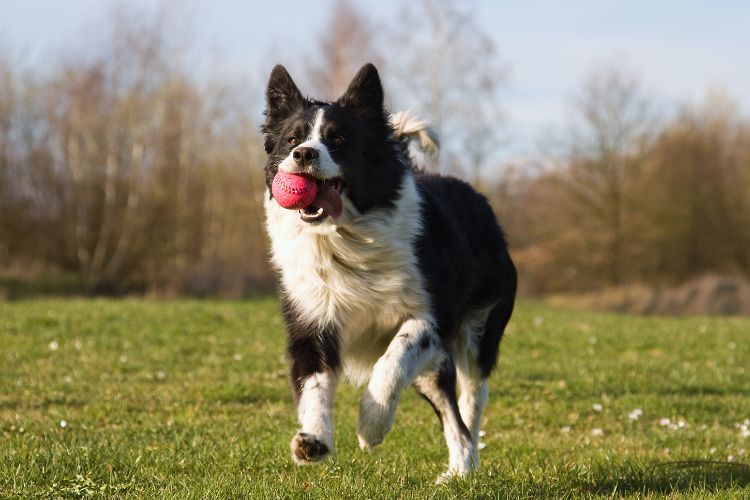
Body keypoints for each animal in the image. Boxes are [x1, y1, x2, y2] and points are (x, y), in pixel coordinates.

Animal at [260, 62, 516, 480]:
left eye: (338, 138)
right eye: (291, 138)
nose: (303, 154)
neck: (345, 236)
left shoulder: (433, 319)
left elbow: (393, 359)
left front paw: (371, 425)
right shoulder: (311, 320)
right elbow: (314, 384)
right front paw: (314, 440)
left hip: (477, 333)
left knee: (466, 403)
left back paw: (463, 468)